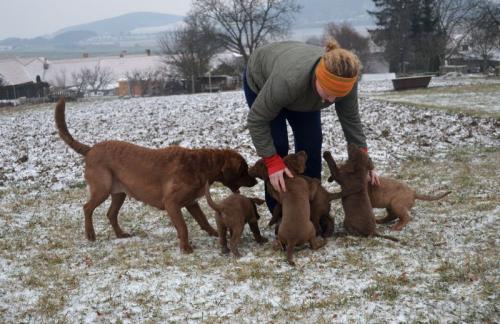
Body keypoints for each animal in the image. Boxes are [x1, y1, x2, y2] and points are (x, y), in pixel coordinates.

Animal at [55, 97, 258, 254]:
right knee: (87, 208)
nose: (255, 180)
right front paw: (185, 248)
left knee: (111, 214)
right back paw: (90, 234)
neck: (202, 164)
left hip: (120, 193)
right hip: (102, 189)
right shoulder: (172, 203)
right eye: (244, 169)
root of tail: (90, 150)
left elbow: (203, 220)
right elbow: (183, 227)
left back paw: (121, 235)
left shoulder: (191, 202)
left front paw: (215, 233)